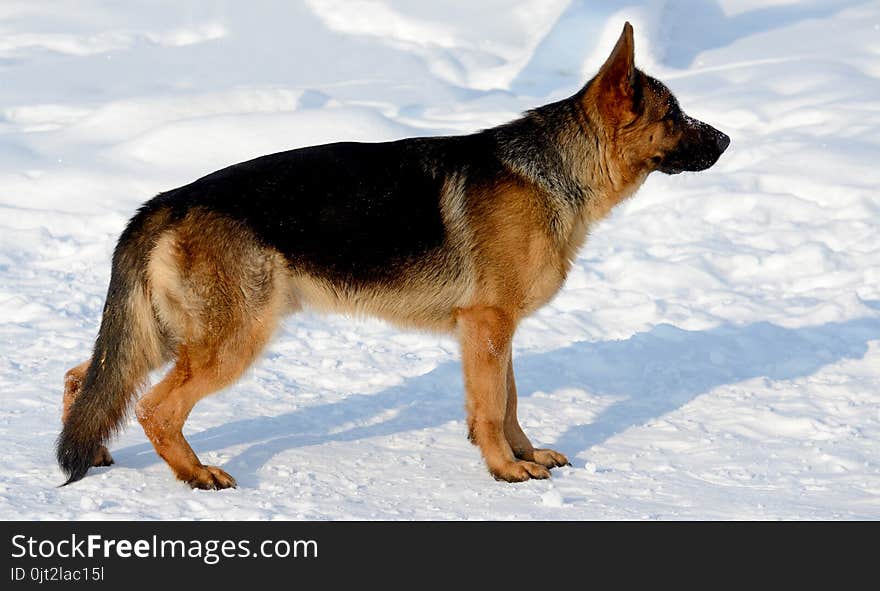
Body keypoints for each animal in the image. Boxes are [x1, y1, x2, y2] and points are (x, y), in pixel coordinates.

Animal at [56, 23, 728, 488]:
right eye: (674, 114)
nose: (726, 138)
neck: (553, 171)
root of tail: (166, 201)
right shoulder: (487, 325)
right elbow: (491, 407)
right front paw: (505, 470)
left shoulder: (496, 330)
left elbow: (509, 401)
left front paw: (526, 453)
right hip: (230, 341)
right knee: (153, 407)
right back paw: (197, 475)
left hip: (168, 336)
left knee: (84, 379)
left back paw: (96, 451)